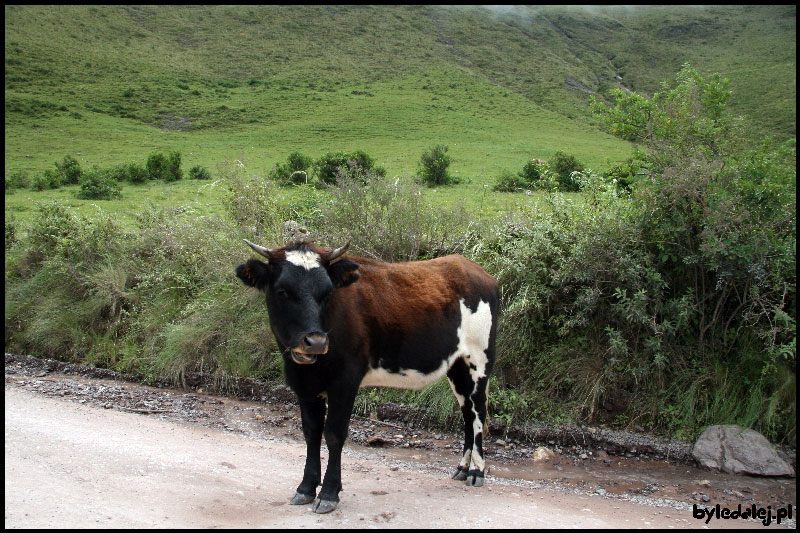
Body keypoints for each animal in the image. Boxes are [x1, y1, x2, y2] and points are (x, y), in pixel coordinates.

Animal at [238, 240, 496, 512]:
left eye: (327, 293)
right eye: (282, 291)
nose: (316, 341)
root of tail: (474, 269)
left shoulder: (345, 381)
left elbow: (334, 433)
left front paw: (329, 493)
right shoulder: (304, 385)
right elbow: (311, 432)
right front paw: (306, 488)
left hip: (479, 360)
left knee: (479, 412)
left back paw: (477, 471)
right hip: (457, 367)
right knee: (467, 414)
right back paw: (462, 468)